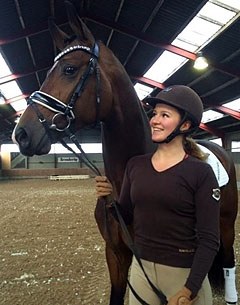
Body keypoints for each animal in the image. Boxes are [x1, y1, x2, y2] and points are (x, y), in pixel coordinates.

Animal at [12, 2, 238, 304]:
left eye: (70, 69)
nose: (22, 134)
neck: (121, 185)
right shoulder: (116, 253)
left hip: (226, 226)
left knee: (228, 264)